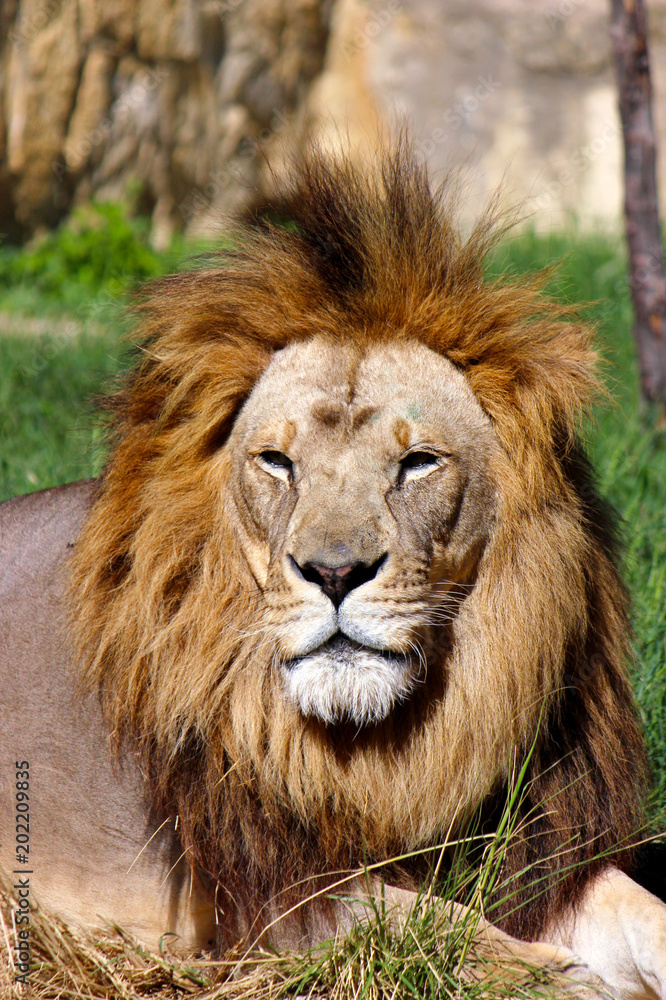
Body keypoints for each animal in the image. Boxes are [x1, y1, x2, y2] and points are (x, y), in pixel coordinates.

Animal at [1, 145, 664, 996]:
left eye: (418, 463)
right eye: (277, 462)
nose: (336, 572)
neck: (389, 755)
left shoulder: (526, 848)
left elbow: (639, 909)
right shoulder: (265, 903)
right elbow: (434, 928)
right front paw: (564, 976)